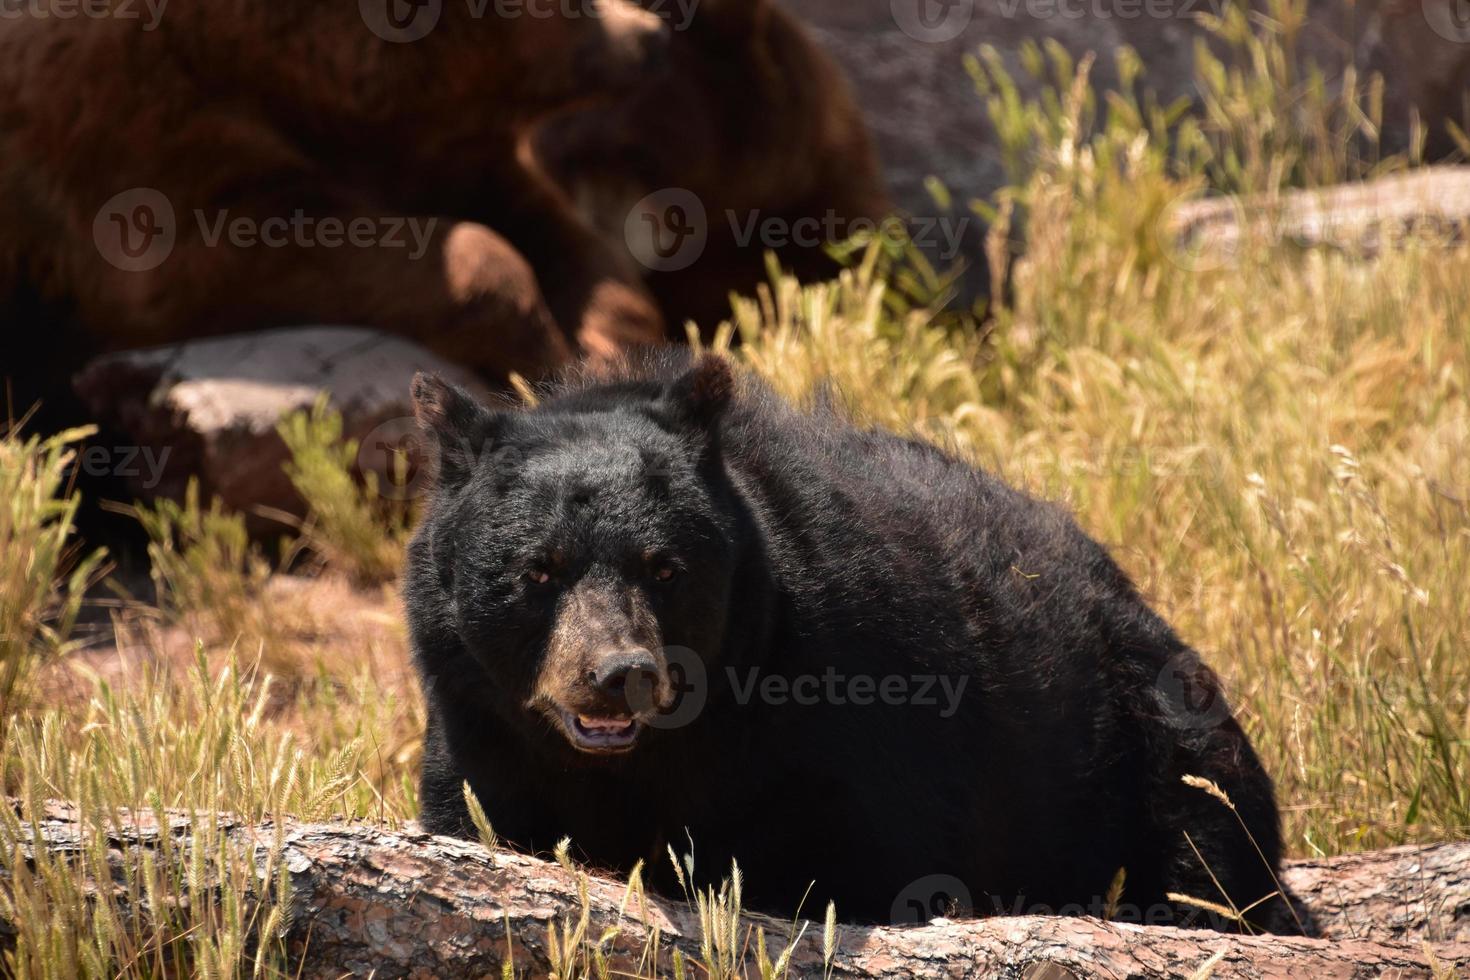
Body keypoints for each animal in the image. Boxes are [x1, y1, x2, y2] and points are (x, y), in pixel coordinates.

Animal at [0, 0, 667, 390]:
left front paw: (609, 347)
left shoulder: (447, 145)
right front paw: (538, 347)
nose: (649, 35)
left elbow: (554, 228)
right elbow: (232, 243)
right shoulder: (133, 117)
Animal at [405, 357, 1287, 934]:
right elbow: (475, 817)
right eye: (538, 571)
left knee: (1211, 840)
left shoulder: (856, 705)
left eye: (665, 568)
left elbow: (886, 861)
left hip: (1153, 729)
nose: (621, 675)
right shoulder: (478, 733)